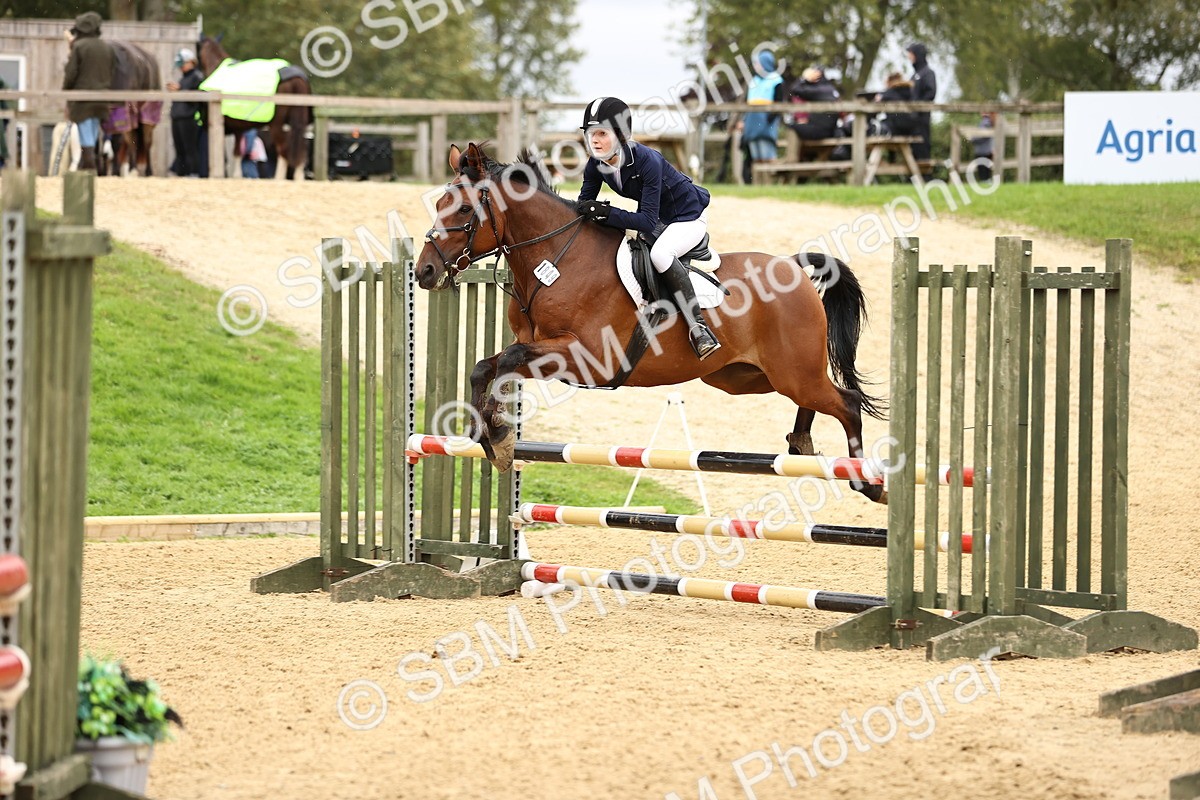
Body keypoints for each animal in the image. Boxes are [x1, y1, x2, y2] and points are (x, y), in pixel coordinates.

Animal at [197, 34, 310, 179]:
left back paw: (278, 178)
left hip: (277, 125)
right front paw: (237, 176)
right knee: (301, 151)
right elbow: (237, 152)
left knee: (284, 151)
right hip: (296, 124)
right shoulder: (238, 128)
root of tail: (296, 77)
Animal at [415, 142, 888, 504]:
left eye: (463, 209)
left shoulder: (587, 356)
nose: (424, 272)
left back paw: (868, 483)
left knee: (845, 403)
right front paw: (492, 438)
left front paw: (498, 434)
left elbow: (509, 358)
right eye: (437, 204)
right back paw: (802, 444)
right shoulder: (544, 350)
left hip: (790, 371)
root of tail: (792, 268)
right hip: (746, 376)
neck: (556, 261)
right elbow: (486, 367)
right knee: (816, 397)